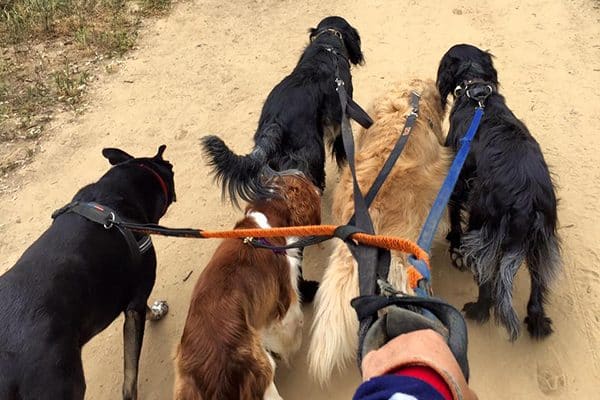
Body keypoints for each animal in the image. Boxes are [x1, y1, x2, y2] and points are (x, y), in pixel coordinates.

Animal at [173, 174, 322, 400]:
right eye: (304, 180)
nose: (318, 188)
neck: (262, 223)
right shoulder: (284, 297)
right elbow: (290, 324)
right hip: (262, 375)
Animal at [436, 44, 564, 340]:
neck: (476, 93)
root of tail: (526, 202)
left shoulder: (458, 178)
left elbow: (453, 212)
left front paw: (454, 242)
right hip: (541, 241)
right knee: (537, 286)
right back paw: (537, 323)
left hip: (485, 230)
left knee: (489, 282)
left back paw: (477, 310)